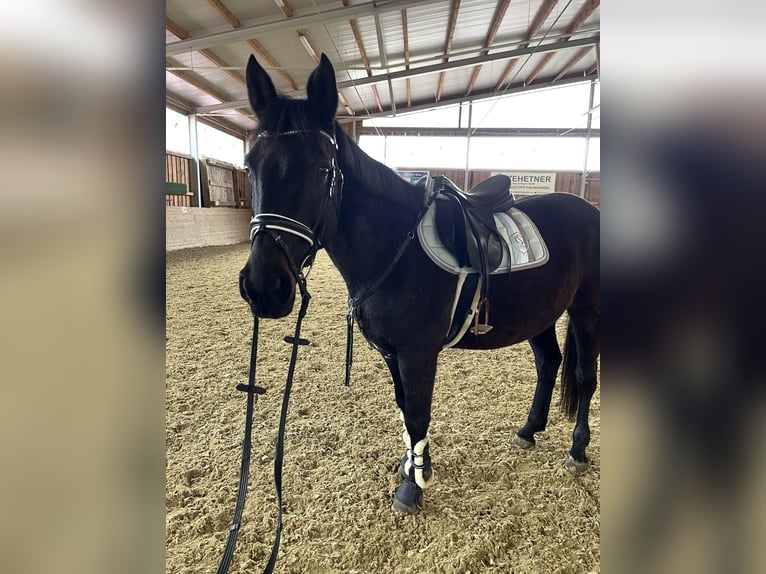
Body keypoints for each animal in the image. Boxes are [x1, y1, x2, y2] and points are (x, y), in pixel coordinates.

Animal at [240, 53, 600, 512]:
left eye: (323, 170)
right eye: (250, 166)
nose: (263, 286)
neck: (395, 243)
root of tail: (589, 209)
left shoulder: (417, 353)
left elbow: (417, 412)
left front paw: (413, 487)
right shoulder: (393, 353)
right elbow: (404, 409)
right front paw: (412, 465)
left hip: (587, 310)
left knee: (585, 377)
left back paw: (577, 450)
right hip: (540, 313)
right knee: (549, 363)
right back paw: (528, 431)